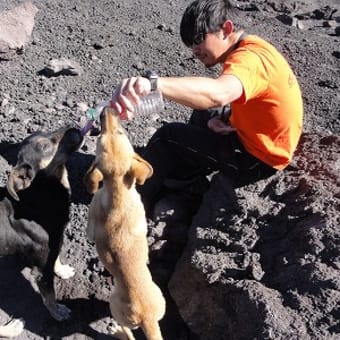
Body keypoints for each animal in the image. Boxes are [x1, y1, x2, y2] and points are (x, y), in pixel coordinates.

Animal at [0, 125, 83, 338]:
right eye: (45, 146)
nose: (74, 127)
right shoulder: (40, 269)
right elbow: (49, 296)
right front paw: (58, 312)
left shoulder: (55, 242)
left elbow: (57, 258)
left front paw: (62, 270)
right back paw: (12, 329)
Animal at [83, 107, 166, 338]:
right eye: (102, 135)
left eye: (120, 133)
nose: (106, 109)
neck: (118, 193)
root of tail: (146, 318)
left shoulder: (91, 220)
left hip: (114, 305)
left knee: (129, 333)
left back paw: (118, 331)